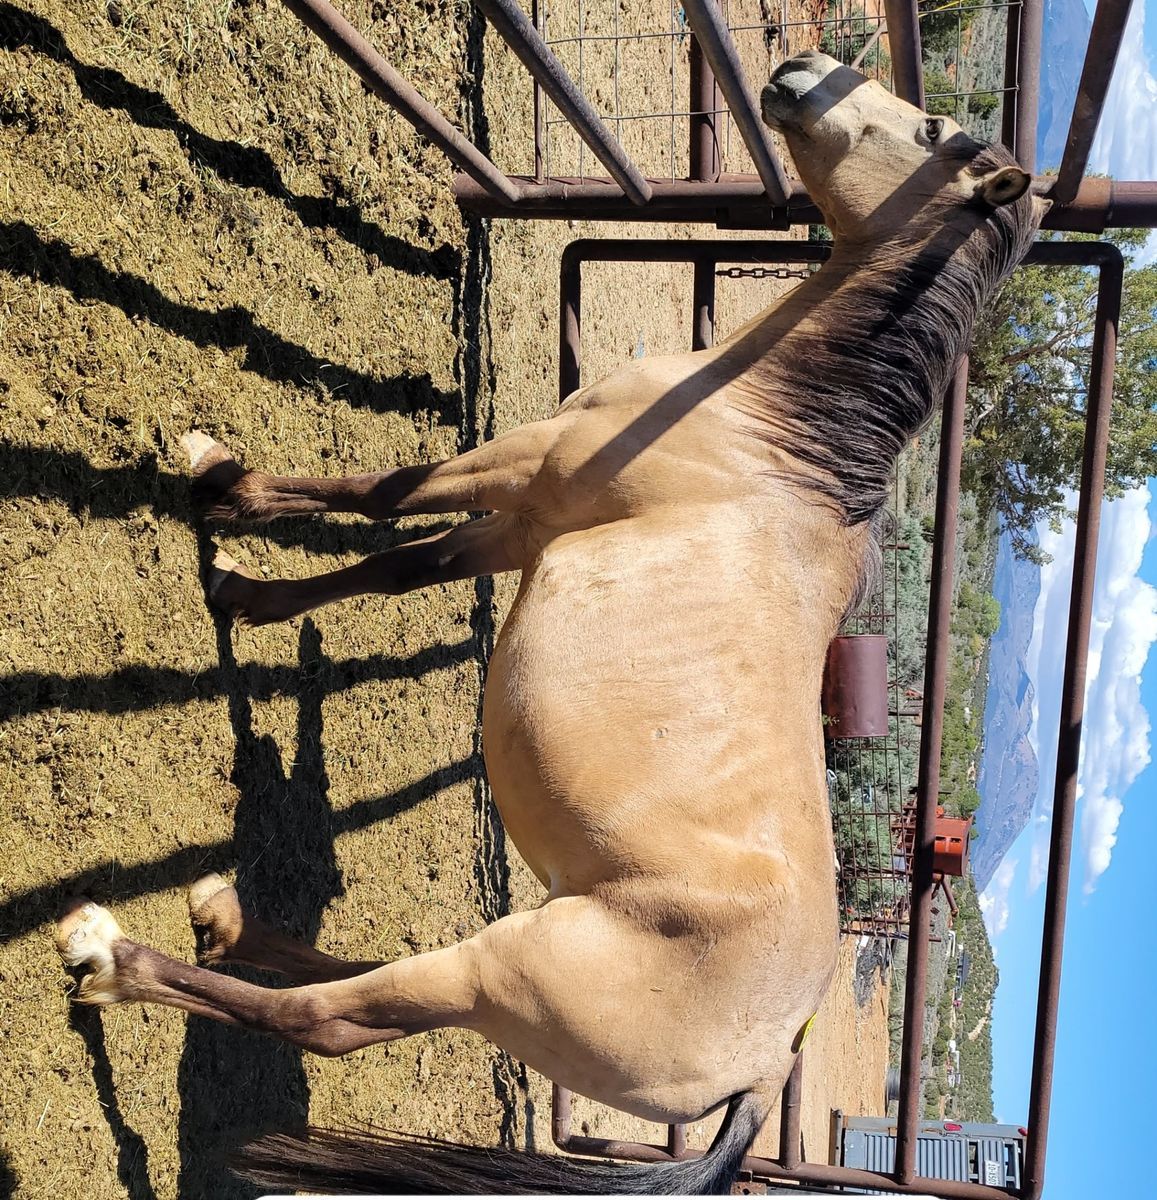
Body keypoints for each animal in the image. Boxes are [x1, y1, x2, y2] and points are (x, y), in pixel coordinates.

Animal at [55, 51, 1046, 1194]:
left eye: (928, 130)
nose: (796, 72)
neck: (764, 438)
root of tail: (763, 1070)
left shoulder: (523, 465)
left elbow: (388, 491)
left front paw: (222, 489)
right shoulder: (524, 524)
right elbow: (396, 564)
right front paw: (249, 593)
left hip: (504, 971)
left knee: (327, 1021)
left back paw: (112, 957)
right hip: (506, 953)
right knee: (356, 983)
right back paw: (223, 921)